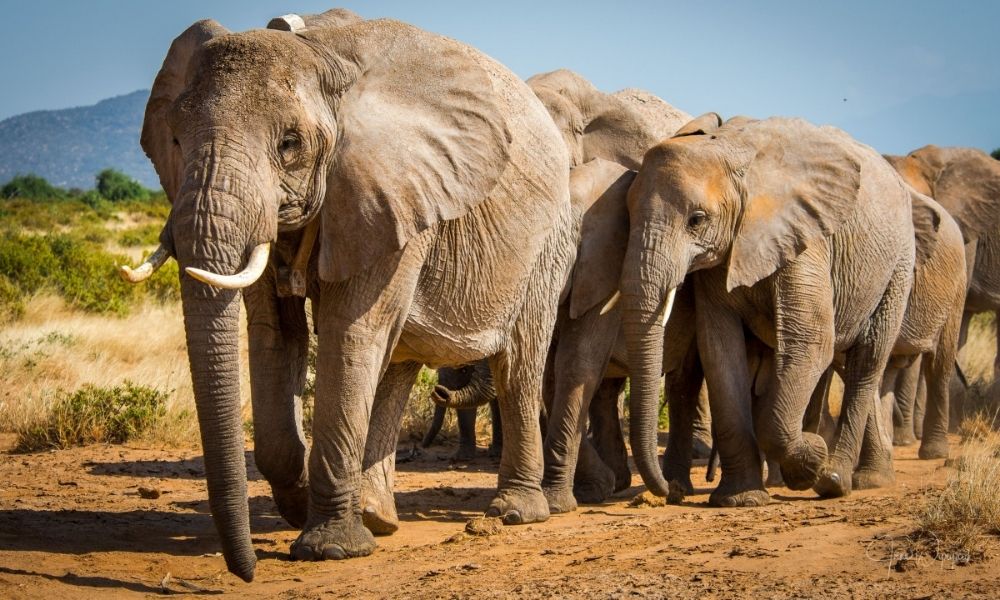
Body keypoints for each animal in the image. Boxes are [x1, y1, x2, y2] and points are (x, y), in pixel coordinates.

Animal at [620, 118, 916, 506]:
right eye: (626, 217)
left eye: (696, 220)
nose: (671, 493)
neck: (729, 151)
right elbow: (720, 350)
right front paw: (741, 499)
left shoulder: (804, 236)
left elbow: (810, 339)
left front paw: (812, 459)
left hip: (899, 263)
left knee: (866, 361)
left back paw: (834, 480)